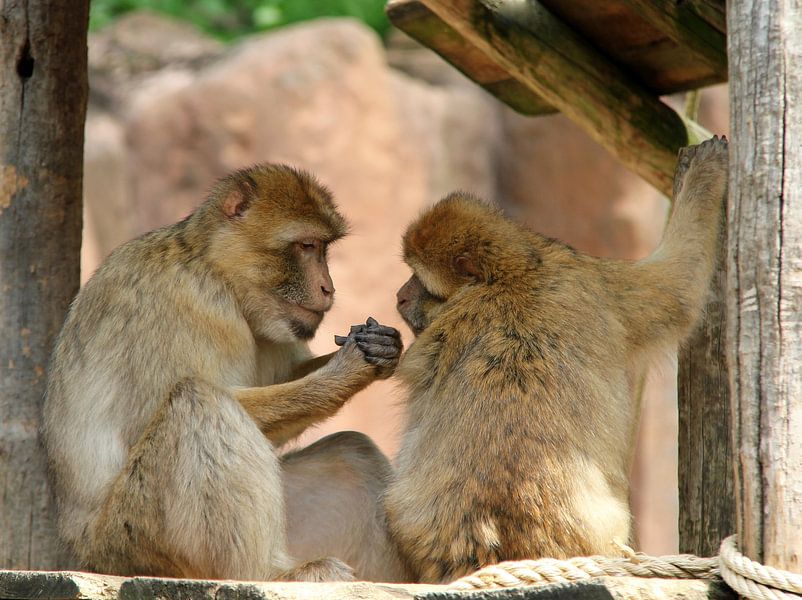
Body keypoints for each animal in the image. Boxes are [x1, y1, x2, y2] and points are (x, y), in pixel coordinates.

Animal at [40, 163, 404, 580]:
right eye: (306, 246)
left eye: (323, 247)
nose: (328, 288)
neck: (213, 267)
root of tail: (80, 553)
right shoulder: (188, 301)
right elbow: (155, 416)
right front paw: (344, 373)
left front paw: (382, 347)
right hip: (131, 542)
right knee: (199, 401)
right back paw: (268, 574)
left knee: (353, 454)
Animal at [384, 137, 728, 580]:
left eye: (418, 279)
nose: (399, 296)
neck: (511, 274)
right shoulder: (591, 279)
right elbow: (680, 291)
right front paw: (706, 177)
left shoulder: (578, 274)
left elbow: (678, 288)